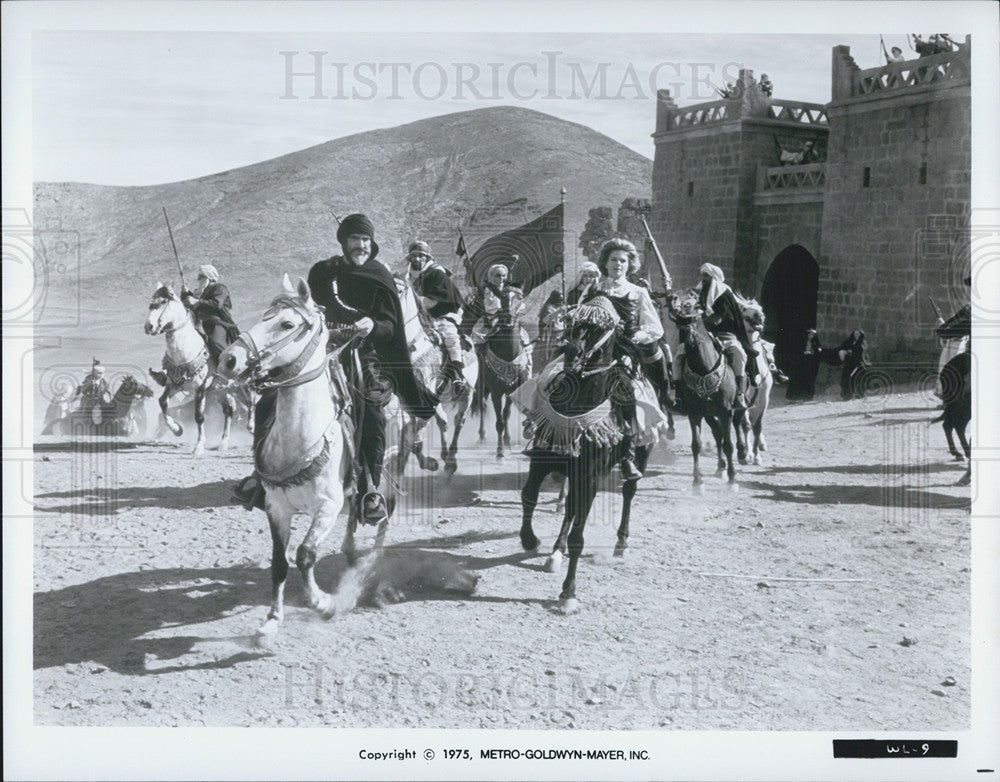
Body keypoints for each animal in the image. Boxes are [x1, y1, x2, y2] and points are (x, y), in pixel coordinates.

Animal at [144, 282, 235, 456]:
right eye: (150, 303)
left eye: (163, 302)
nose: (148, 327)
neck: (185, 352)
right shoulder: (173, 385)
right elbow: (162, 403)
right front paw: (177, 429)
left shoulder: (201, 388)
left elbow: (199, 416)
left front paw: (199, 446)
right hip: (218, 390)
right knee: (228, 409)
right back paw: (224, 442)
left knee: (232, 409)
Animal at [476, 300, 532, 460]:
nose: (508, 318)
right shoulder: (496, 392)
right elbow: (499, 422)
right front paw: (499, 451)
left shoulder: (513, 390)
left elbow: (506, 415)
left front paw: (506, 443)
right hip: (483, 384)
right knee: (482, 405)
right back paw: (481, 438)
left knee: (506, 412)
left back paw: (506, 440)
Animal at [516, 298, 648, 616]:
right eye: (575, 322)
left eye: (600, 328)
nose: (572, 352)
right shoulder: (543, 462)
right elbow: (529, 496)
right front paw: (529, 539)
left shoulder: (589, 477)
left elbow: (579, 536)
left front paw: (569, 593)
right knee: (570, 508)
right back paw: (555, 551)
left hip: (636, 456)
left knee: (629, 490)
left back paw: (621, 542)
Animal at [664, 290, 744, 494]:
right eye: (678, 322)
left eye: (694, 316)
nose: (688, 337)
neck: (704, 368)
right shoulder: (695, 413)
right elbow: (696, 445)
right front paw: (697, 482)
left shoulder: (725, 411)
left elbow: (728, 444)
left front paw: (733, 479)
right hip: (708, 413)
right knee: (717, 434)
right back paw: (720, 467)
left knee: (734, 428)